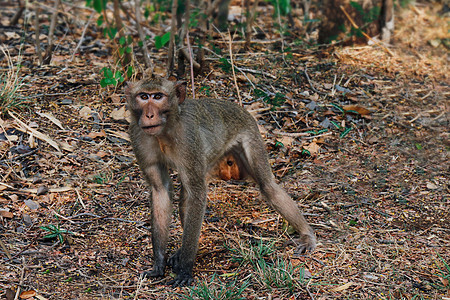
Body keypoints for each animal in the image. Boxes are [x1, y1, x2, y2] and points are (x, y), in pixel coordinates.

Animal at [126, 76, 316, 288]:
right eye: (144, 97)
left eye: (158, 97)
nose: (149, 115)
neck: (164, 131)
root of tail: (238, 107)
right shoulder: (138, 136)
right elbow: (160, 190)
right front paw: (159, 263)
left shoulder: (188, 140)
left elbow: (197, 194)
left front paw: (185, 269)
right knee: (186, 196)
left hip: (249, 135)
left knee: (267, 186)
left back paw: (306, 235)